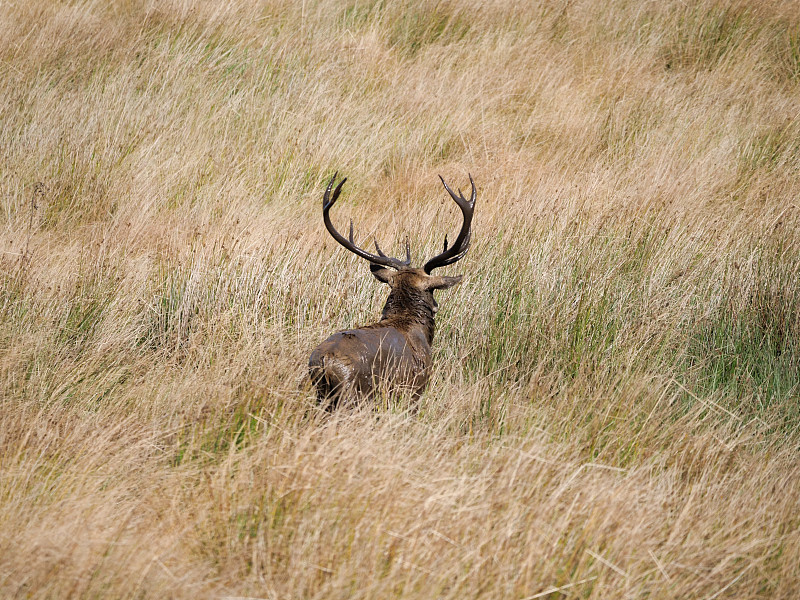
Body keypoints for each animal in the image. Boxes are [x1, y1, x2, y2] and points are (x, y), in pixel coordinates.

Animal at [310, 171, 476, 410]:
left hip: (320, 394)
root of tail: (325, 363)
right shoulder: (415, 389)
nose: (436, 306)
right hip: (352, 396)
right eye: (432, 291)